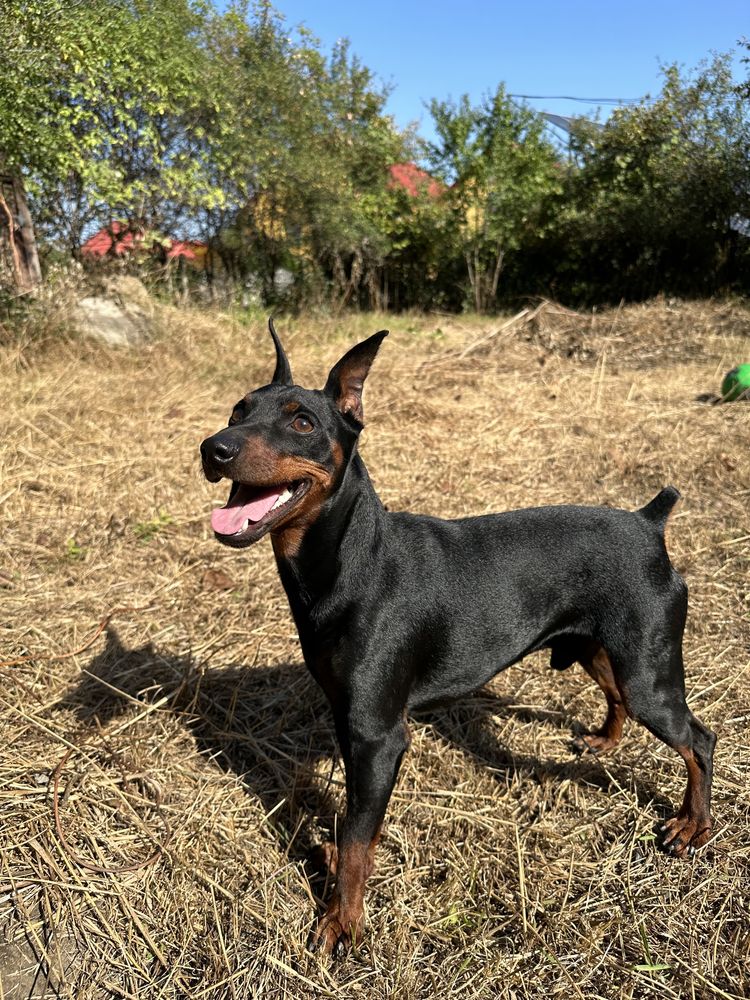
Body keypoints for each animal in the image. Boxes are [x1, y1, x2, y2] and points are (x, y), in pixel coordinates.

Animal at [200, 324, 716, 956]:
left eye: (302, 422)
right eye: (237, 410)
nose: (214, 449)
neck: (348, 559)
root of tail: (649, 522)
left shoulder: (378, 737)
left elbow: (357, 840)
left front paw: (342, 921)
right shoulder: (350, 723)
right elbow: (353, 825)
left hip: (649, 674)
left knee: (699, 740)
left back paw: (692, 826)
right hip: (602, 650)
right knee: (617, 696)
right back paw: (603, 742)